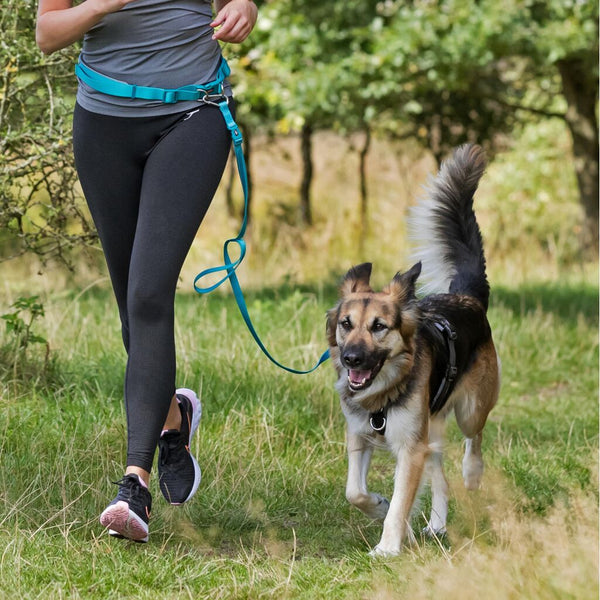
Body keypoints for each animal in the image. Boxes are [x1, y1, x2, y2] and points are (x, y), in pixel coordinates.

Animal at [326, 143, 500, 556]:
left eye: (379, 327)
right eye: (346, 324)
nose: (351, 359)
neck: (384, 390)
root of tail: (466, 298)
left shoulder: (409, 447)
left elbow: (402, 500)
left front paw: (388, 546)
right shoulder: (360, 435)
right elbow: (354, 491)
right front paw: (376, 505)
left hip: (469, 409)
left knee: (474, 439)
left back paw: (472, 474)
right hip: (430, 429)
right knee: (441, 476)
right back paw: (437, 524)